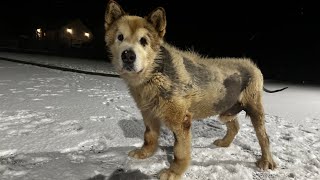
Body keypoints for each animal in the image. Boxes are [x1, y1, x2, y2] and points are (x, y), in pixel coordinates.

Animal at [104, 1, 282, 179]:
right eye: (120, 37)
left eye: (143, 41)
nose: (128, 56)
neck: (155, 73)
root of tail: (253, 65)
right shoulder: (148, 113)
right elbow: (149, 136)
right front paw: (145, 153)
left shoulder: (181, 120)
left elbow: (180, 151)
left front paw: (173, 172)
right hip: (226, 109)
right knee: (234, 126)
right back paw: (224, 143)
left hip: (254, 107)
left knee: (264, 137)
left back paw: (266, 161)